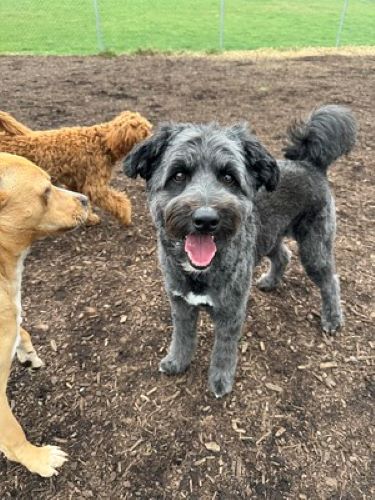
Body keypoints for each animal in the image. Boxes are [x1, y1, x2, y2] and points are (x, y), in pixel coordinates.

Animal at [0, 111, 153, 225]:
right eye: (145, 133)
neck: (103, 142)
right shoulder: (95, 187)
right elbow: (117, 201)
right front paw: (126, 215)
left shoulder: (77, 182)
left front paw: (89, 218)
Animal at [0, 153, 88, 476]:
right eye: (46, 192)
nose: (86, 199)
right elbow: (13, 434)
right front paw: (37, 459)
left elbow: (20, 327)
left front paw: (27, 353)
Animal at [124, 105, 358, 398]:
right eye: (178, 175)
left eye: (228, 177)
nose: (205, 219)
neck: (200, 272)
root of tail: (310, 164)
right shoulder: (180, 303)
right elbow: (182, 336)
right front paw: (177, 361)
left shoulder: (230, 311)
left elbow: (223, 350)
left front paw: (220, 381)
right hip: (269, 235)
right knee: (283, 255)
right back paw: (270, 281)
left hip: (314, 246)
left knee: (330, 280)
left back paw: (332, 318)